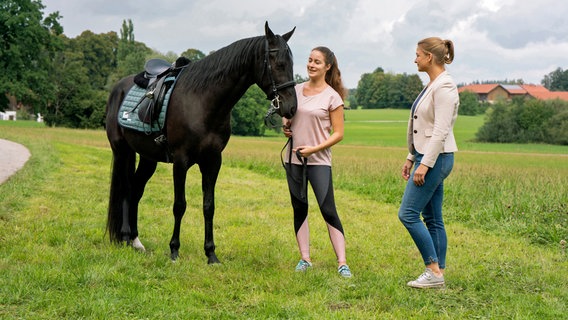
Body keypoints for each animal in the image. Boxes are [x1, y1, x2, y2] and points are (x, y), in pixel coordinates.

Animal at [105, 21, 298, 262]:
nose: (292, 107)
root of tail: (118, 87)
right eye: (279, 64)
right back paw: (123, 237)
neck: (202, 100)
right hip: (122, 151)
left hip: (148, 157)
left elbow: (209, 206)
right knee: (124, 189)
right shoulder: (180, 161)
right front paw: (174, 250)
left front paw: (211, 253)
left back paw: (135, 240)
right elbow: (179, 205)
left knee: (135, 190)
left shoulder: (213, 161)